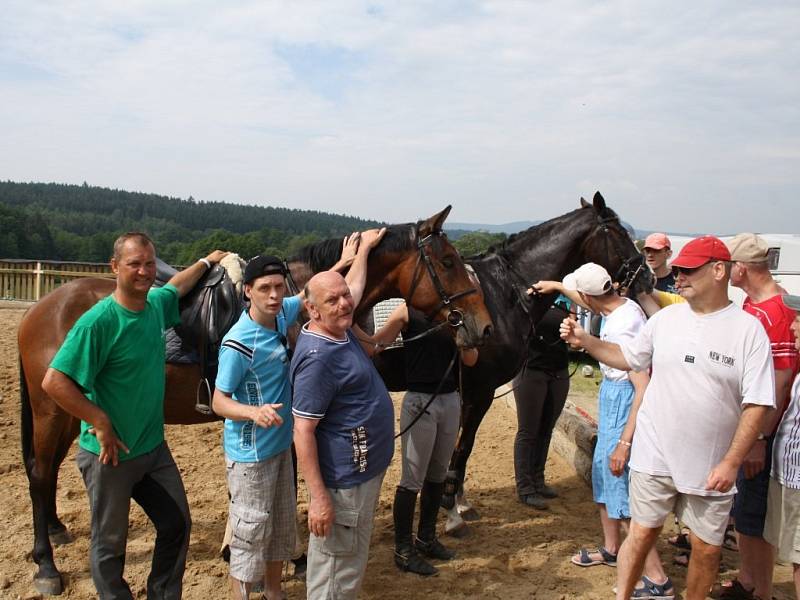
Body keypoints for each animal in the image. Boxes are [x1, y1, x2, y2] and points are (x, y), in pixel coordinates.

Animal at [20, 206, 494, 596]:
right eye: (448, 263)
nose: (484, 327)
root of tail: (42, 307)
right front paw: (289, 557)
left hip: (68, 415)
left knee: (46, 470)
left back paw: (57, 531)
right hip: (52, 412)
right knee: (41, 474)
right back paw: (46, 567)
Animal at [372, 192, 652, 536]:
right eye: (619, 232)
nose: (649, 278)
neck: (503, 295)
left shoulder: (468, 391)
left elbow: (461, 448)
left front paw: (459, 502)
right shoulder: (479, 391)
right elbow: (462, 448)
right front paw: (452, 509)